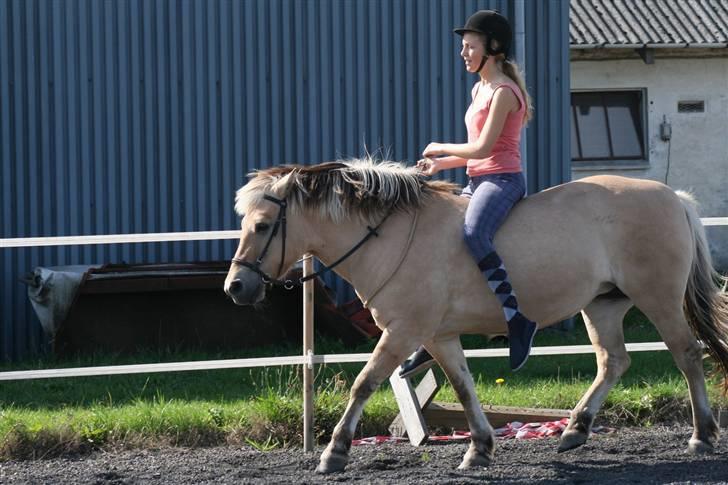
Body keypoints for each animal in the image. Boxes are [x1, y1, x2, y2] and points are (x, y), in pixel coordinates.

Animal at [223, 159, 728, 472]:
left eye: (263, 226)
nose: (235, 287)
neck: (389, 237)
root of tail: (673, 196)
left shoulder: (403, 331)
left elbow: (363, 383)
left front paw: (334, 453)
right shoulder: (438, 335)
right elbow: (464, 386)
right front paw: (480, 449)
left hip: (658, 298)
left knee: (687, 355)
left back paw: (702, 435)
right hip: (602, 304)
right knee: (613, 361)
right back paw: (575, 430)